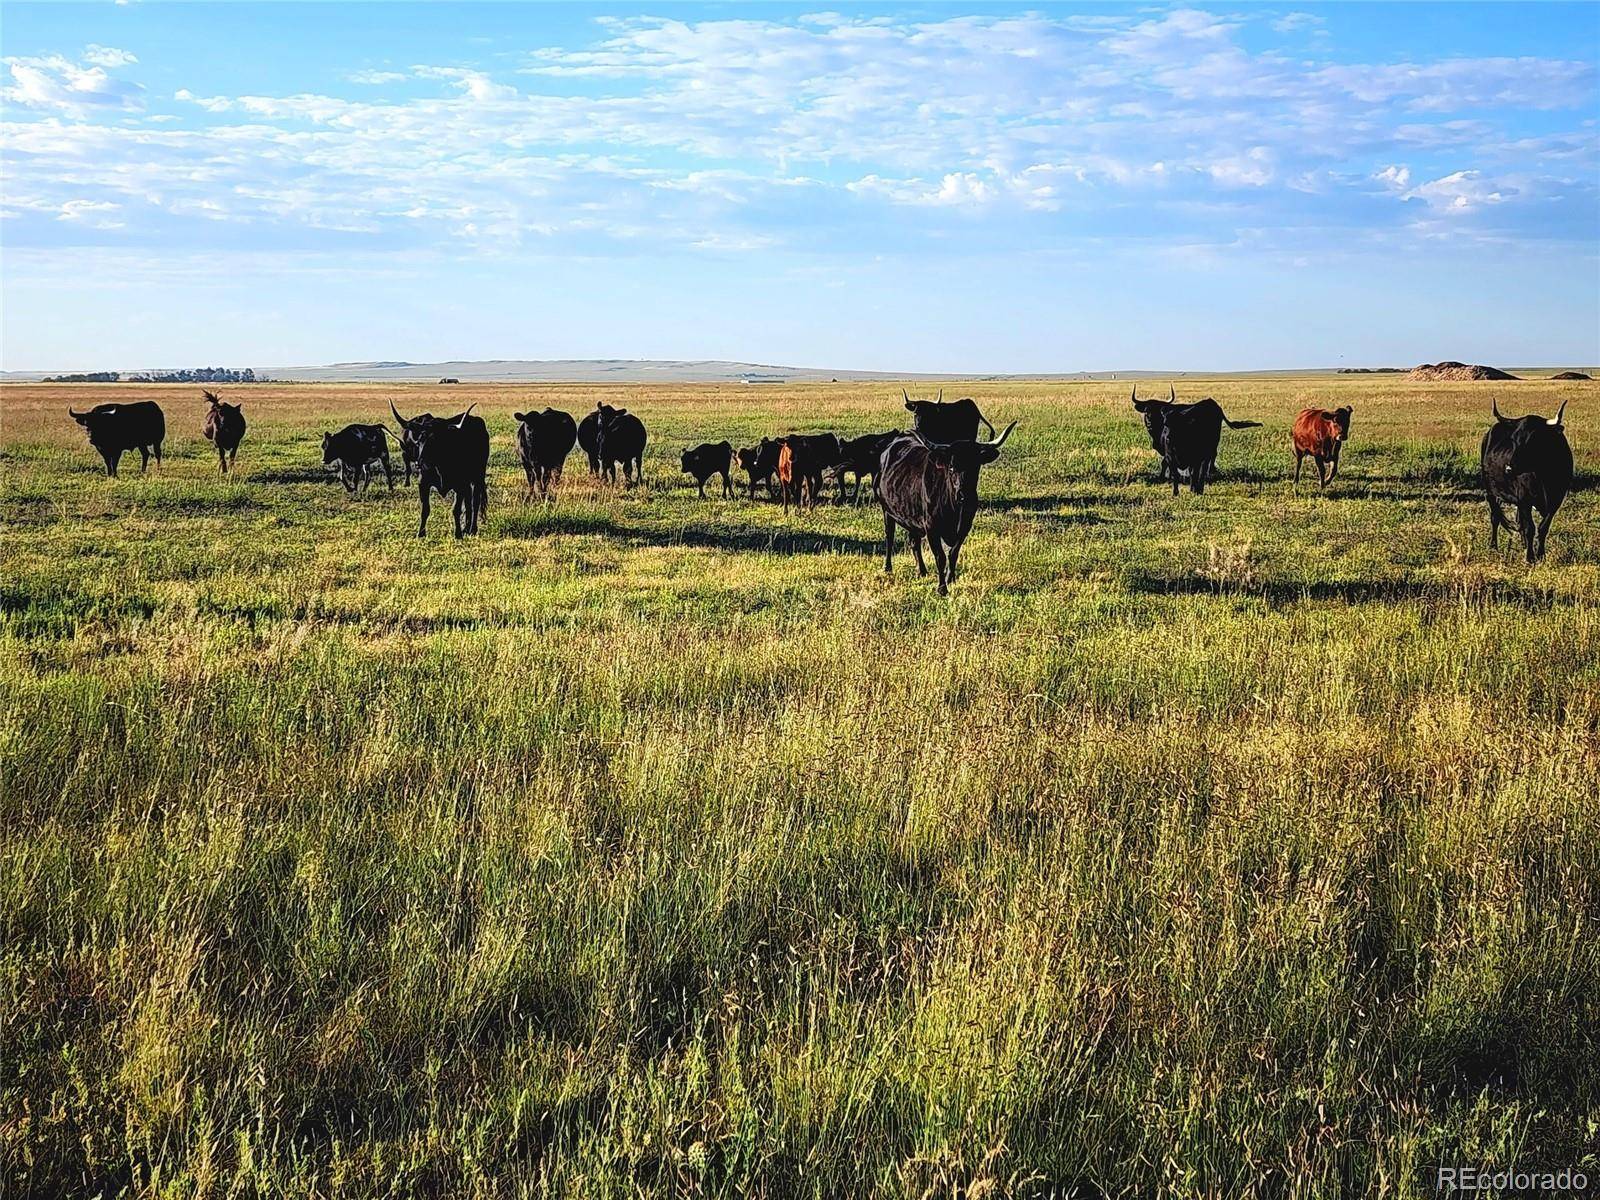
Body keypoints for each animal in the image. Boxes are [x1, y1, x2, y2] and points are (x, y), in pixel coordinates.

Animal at [392, 404, 489, 540]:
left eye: (435, 440)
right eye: (420, 440)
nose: (419, 462)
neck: (439, 467)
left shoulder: (460, 485)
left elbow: (456, 509)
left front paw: (458, 534)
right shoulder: (423, 484)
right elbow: (425, 509)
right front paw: (421, 533)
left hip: (478, 477)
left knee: (475, 502)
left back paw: (472, 529)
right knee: (468, 502)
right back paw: (466, 528)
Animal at [876, 422, 1011, 598]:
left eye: (976, 466)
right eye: (951, 467)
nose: (964, 495)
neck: (954, 508)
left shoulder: (965, 526)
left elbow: (953, 553)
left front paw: (950, 578)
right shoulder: (931, 528)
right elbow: (940, 557)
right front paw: (942, 588)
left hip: (911, 516)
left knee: (914, 542)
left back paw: (922, 571)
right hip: (887, 510)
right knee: (890, 537)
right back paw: (888, 568)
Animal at [1132, 387, 1267, 496]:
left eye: (1157, 411)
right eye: (1146, 411)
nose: (1149, 421)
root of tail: (1212, 404)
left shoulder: (1190, 457)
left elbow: (1188, 471)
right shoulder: (1170, 454)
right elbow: (1172, 469)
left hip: (1211, 446)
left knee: (1208, 461)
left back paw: (1207, 476)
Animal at [1484, 396, 1574, 563]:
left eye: (1534, 439)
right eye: (1514, 439)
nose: (1509, 468)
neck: (1544, 475)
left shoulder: (1555, 501)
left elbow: (1543, 527)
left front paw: (1541, 555)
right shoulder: (1525, 499)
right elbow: (1529, 528)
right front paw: (1530, 558)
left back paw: (1523, 544)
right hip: (1491, 492)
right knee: (1495, 517)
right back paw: (1493, 546)